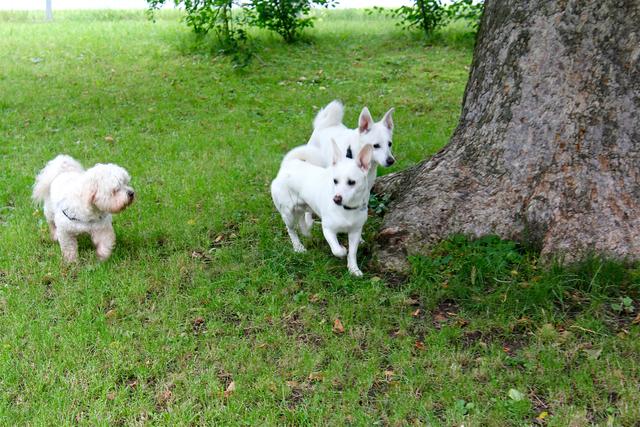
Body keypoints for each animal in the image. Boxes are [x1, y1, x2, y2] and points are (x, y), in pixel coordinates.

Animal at [272, 140, 376, 274]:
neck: (346, 209)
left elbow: (352, 252)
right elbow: (337, 250)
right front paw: (343, 250)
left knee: (302, 220)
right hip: (287, 214)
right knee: (291, 230)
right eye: (335, 181)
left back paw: (306, 231)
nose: (336, 199)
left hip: (304, 206)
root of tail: (289, 164)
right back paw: (298, 247)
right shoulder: (328, 230)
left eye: (351, 182)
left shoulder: (355, 232)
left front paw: (353, 269)